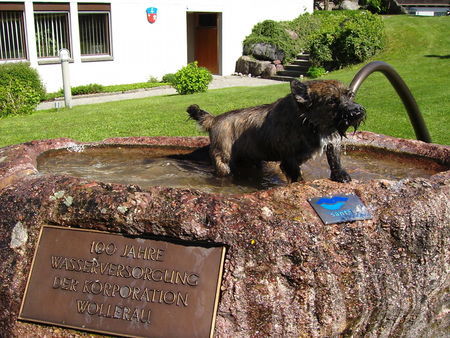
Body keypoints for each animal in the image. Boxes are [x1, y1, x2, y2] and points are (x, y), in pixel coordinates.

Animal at [186, 79, 366, 184]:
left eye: (350, 95)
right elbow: (298, 178)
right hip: (223, 160)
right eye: (331, 101)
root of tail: (215, 119)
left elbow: (335, 159)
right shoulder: (289, 160)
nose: (357, 111)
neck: (308, 122)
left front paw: (340, 175)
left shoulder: (331, 141)